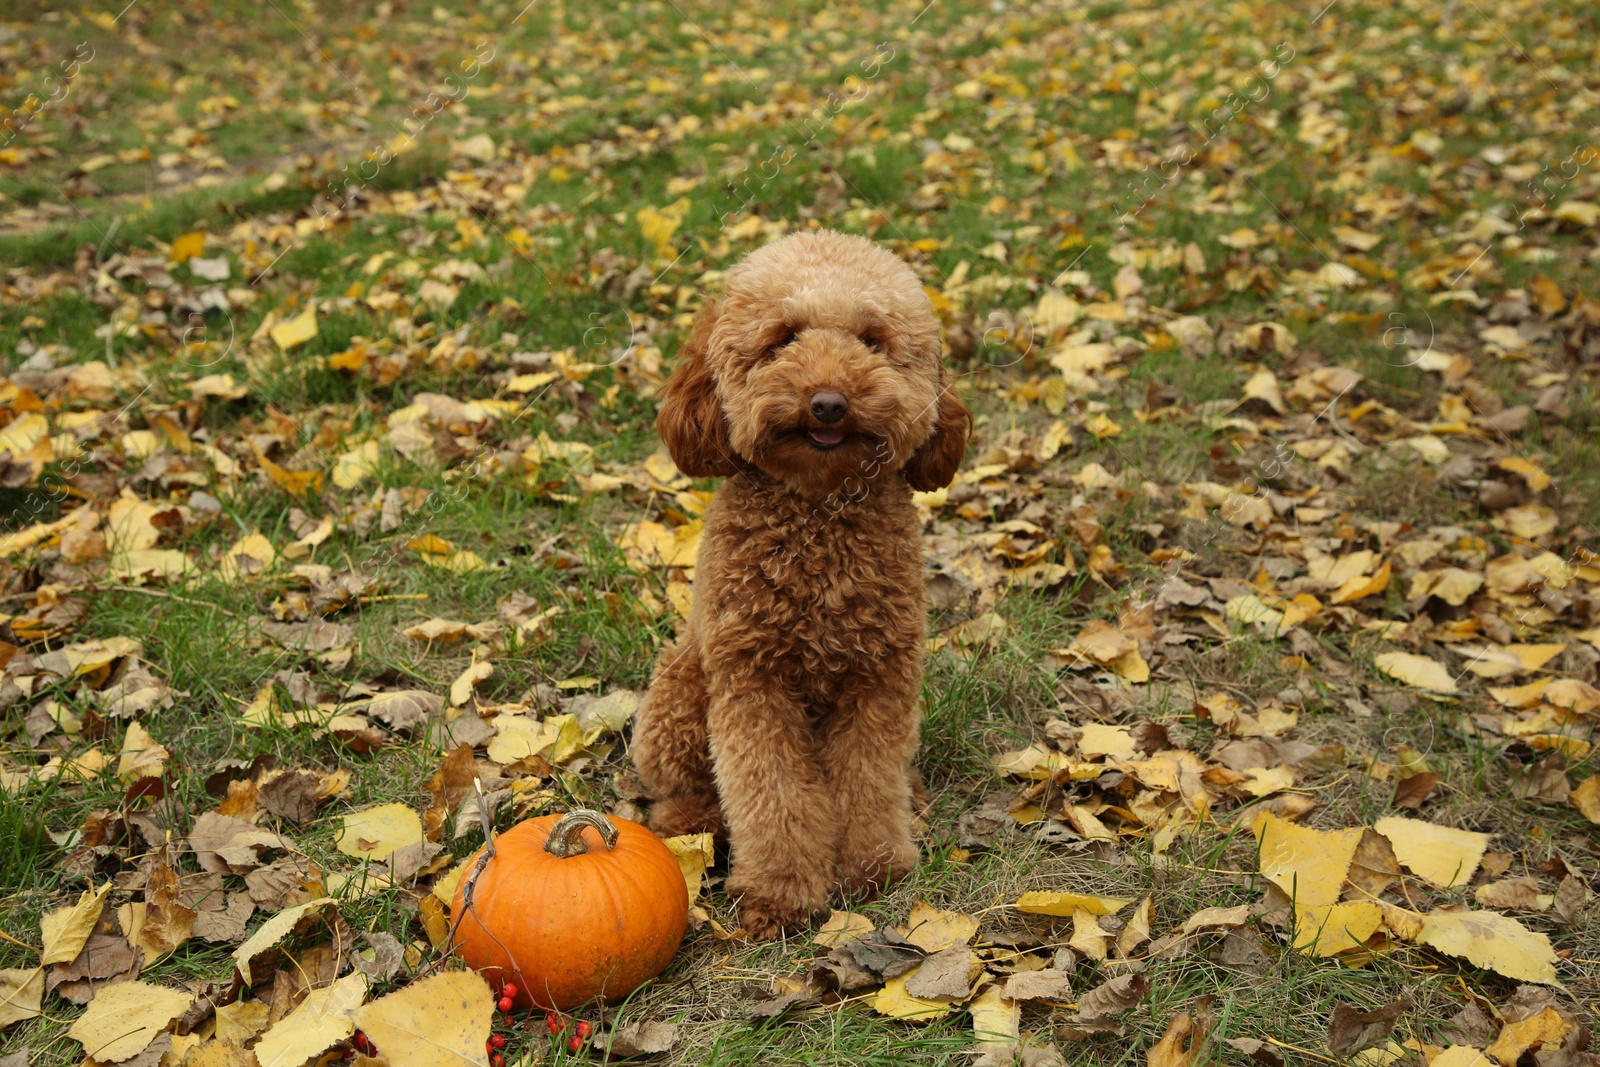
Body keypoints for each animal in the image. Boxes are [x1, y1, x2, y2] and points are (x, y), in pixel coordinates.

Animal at [630, 230, 966, 940]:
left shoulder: (881, 679)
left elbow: (868, 780)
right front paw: (780, 894)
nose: (829, 403)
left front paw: (873, 869)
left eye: (872, 340)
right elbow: (772, 795)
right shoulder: (752, 683)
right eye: (782, 338)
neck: (820, 511)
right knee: (688, 787)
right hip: (680, 691)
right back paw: (688, 826)